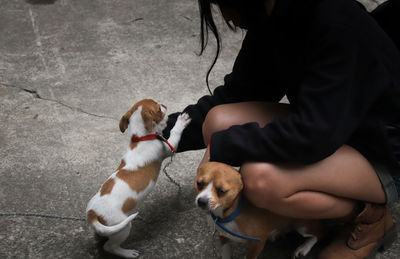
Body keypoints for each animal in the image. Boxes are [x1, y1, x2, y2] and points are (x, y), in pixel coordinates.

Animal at [85, 99, 191, 258]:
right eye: (158, 108)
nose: (164, 104)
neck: (141, 138)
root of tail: (92, 213)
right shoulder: (168, 147)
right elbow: (174, 132)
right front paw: (181, 120)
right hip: (122, 228)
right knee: (110, 246)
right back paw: (127, 253)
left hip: (108, 229)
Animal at [195, 162, 324, 259]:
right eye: (199, 183)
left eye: (221, 191)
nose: (201, 201)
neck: (230, 214)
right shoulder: (223, 237)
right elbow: (226, 252)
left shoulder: (258, 242)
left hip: (303, 226)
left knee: (318, 235)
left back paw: (304, 248)